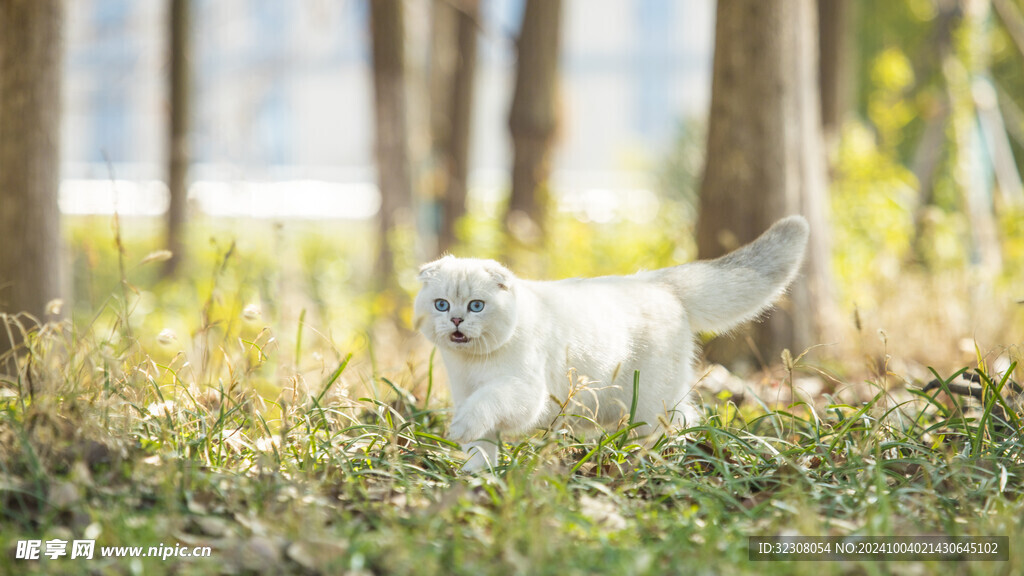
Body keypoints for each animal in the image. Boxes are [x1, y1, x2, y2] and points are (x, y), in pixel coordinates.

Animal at [413, 213, 806, 469]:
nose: (457, 319)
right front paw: (476, 480)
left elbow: (486, 404)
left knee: (684, 421)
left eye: (476, 305)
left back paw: (672, 458)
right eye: (442, 304)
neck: (473, 364)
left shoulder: (523, 392)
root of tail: (656, 280)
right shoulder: (466, 392)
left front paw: (459, 430)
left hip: (650, 404)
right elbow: (480, 446)